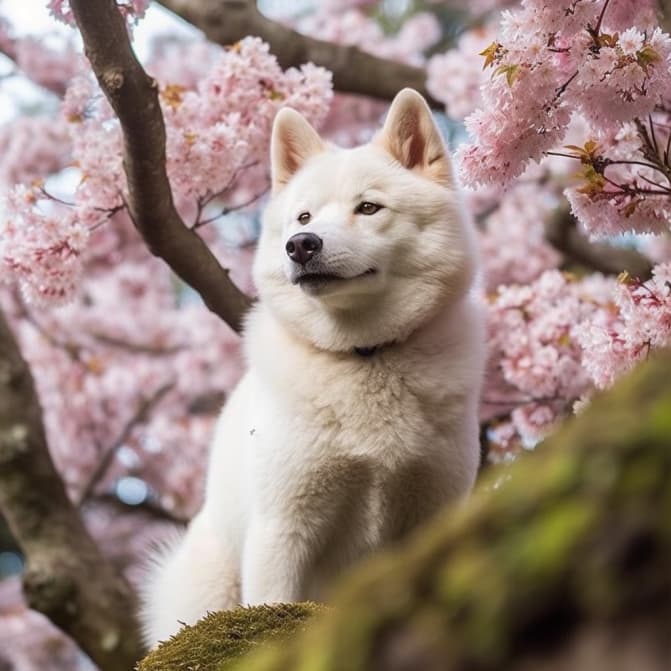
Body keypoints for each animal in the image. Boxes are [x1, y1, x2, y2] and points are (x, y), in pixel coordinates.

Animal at [143, 88, 484, 644]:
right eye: (303, 217)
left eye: (368, 207)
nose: (301, 246)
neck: (365, 355)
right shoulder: (283, 525)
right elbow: (271, 604)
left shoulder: (433, 510)